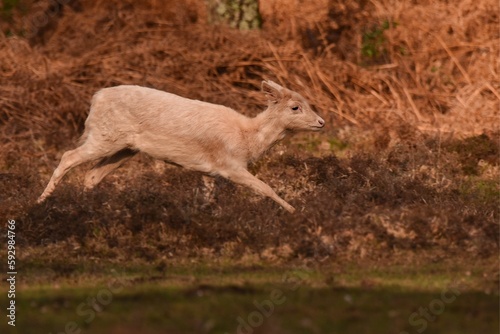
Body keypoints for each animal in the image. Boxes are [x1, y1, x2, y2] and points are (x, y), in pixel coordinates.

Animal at [35, 80, 324, 211]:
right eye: (295, 107)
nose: (321, 122)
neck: (247, 139)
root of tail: (96, 98)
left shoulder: (212, 170)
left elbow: (208, 195)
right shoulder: (231, 165)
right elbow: (265, 188)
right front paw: (294, 211)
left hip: (124, 148)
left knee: (92, 175)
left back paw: (87, 208)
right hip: (104, 136)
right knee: (68, 157)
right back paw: (40, 202)